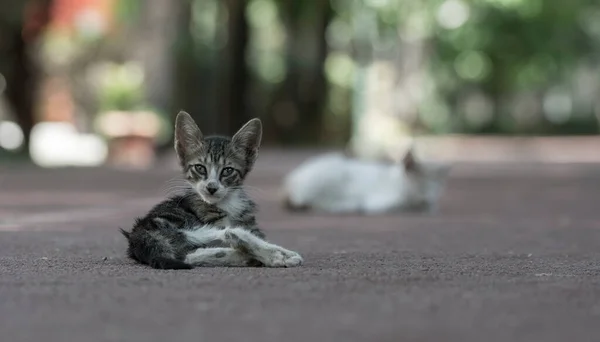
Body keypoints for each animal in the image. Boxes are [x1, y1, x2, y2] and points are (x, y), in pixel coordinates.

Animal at [119, 112, 302, 270]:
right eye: (200, 168)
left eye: (227, 171)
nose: (211, 187)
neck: (228, 202)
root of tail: (137, 234)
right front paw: (277, 254)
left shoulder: (250, 224)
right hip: (181, 225)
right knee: (225, 234)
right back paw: (273, 254)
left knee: (190, 254)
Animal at [284, 146, 448, 215]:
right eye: (420, 186)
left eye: (434, 191)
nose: (426, 200)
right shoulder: (380, 202)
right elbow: (398, 206)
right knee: (315, 204)